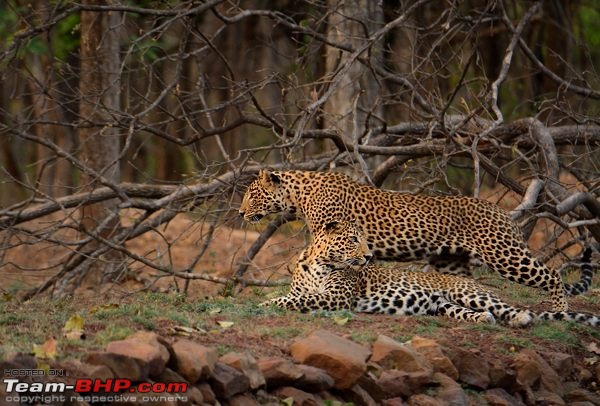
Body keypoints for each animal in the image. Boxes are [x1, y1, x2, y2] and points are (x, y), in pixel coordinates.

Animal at [240, 168, 596, 310]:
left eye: (253, 194)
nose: (240, 212)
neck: (298, 195)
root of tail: (499, 209)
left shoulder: (329, 230)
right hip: (451, 262)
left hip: (505, 255)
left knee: (552, 274)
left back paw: (560, 310)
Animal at [264, 220, 600, 328]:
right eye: (352, 240)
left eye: (364, 239)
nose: (370, 255)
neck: (318, 263)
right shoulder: (306, 289)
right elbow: (295, 296)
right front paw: (269, 301)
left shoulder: (336, 297)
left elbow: (297, 300)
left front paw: (267, 304)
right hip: (445, 305)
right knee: (476, 313)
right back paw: (484, 320)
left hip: (468, 292)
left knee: (511, 308)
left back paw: (520, 318)